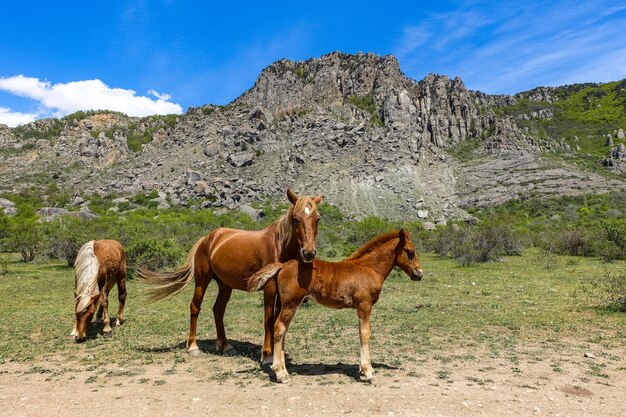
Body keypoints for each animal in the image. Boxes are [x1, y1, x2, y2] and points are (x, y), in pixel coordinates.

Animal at [136, 190, 322, 362]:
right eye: (295, 219)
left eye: (317, 218)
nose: (308, 252)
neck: (279, 246)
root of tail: (207, 238)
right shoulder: (269, 288)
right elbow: (268, 319)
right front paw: (267, 355)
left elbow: (278, 320)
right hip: (202, 280)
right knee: (195, 307)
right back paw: (193, 346)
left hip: (225, 285)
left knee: (218, 310)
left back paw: (224, 345)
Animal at [246, 229, 422, 382]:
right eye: (410, 252)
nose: (419, 274)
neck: (370, 268)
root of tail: (283, 265)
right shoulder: (364, 304)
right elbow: (365, 333)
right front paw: (368, 372)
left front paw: (363, 369)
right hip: (291, 303)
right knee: (279, 328)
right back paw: (280, 374)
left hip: (285, 304)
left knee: (281, 330)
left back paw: (283, 370)